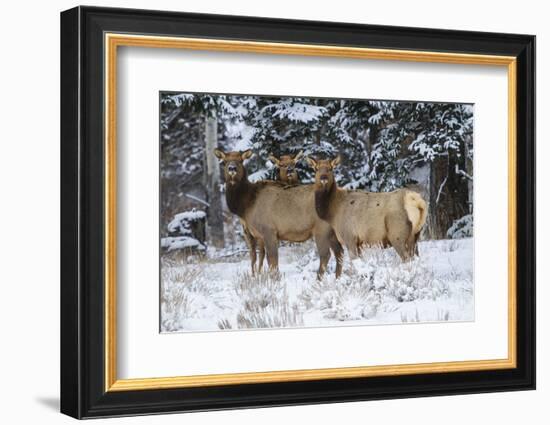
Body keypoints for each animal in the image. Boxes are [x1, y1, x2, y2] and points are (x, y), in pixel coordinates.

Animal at [213, 149, 342, 278]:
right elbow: (262, 258)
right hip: (332, 231)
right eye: (224, 162)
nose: (232, 168)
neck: (246, 205)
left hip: (321, 229)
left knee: (326, 254)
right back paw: (338, 277)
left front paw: (274, 279)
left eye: (240, 161)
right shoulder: (257, 235)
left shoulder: (268, 230)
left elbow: (272, 259)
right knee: (339, 252)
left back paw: (319, 279)